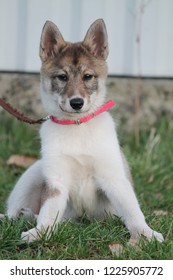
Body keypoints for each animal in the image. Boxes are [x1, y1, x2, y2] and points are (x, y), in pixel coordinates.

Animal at [2, 19, 164, 243]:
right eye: (62, 77)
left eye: (88, 77)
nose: (76, 103)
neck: (77, 127)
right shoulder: (56, 181)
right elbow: (48, 212)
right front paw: (41, 232)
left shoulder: (113, 177)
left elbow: (132, 210)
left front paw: (145, 233)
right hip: (34, 172)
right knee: (15, 211)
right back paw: (21, 216)